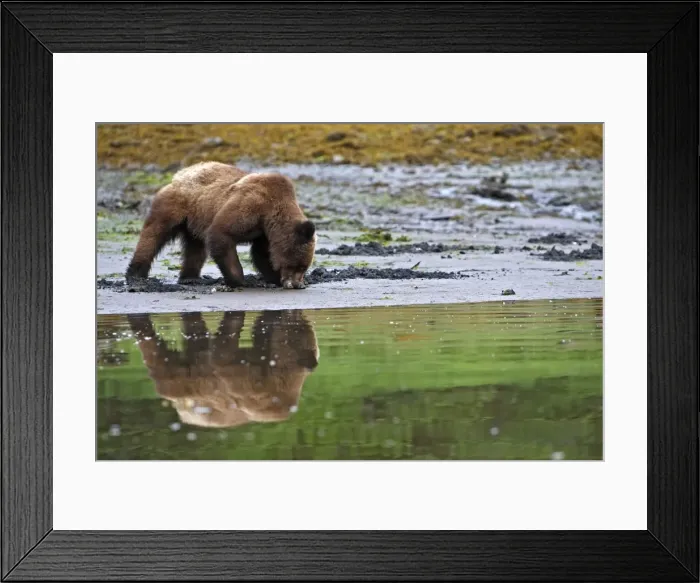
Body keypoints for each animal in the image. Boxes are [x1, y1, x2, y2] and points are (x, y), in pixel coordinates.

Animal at [125, 161, 317, 289]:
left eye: (304, 267)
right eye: (299, 265)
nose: (298, 284)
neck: (272, 213)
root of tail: (179, 174)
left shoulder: (264, 231)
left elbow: (261, 254)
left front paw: (273, 277)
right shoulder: (252, 206)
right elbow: (221, 233)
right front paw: (239, 280)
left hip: (196, 219)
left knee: (196, 248)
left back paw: (190, 277)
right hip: (175, 205)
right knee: (153, 235)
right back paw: (135, 275)